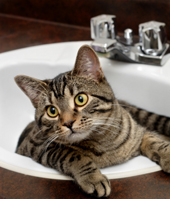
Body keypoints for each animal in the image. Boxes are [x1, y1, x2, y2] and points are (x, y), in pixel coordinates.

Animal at [14, 44, 170, 197]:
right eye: (52, 111)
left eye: (80, 99)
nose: (68, 123)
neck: (105, 142)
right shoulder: (36, 146)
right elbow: (71, 154)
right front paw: (93, 178)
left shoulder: (138, 131)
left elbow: (154, 140)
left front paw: (166, 153)